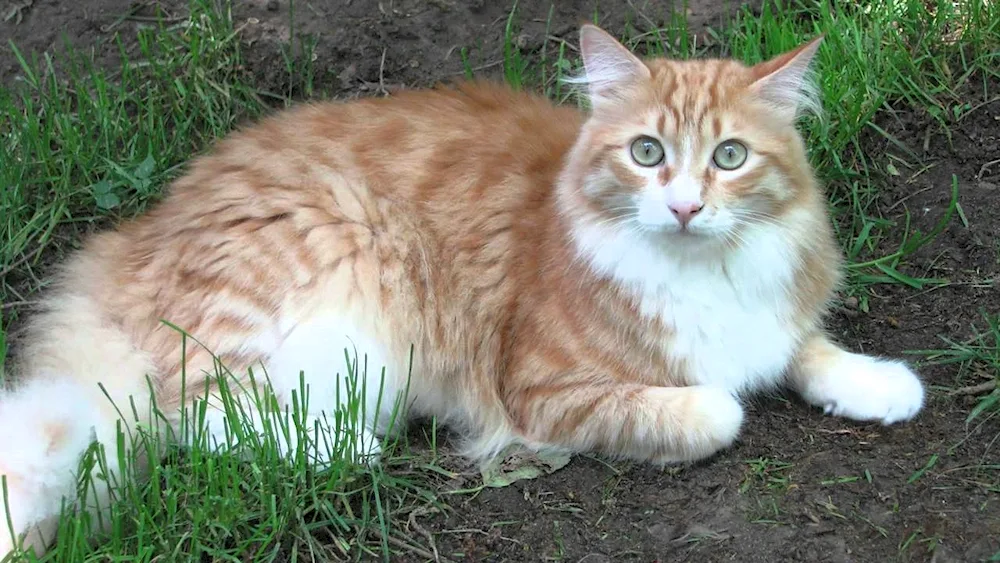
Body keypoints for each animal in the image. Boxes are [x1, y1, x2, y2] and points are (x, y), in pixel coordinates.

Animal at [0, 23, 928, 560]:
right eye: (648, 154)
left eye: (729, 157)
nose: (686, 206)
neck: (702, 269)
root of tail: (131, 237)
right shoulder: (546, 387)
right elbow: (717, 408)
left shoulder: (773, 315)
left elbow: (808, 350)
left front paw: (881, 385)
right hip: (346, 298)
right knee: (201, 415)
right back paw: (351, 443)